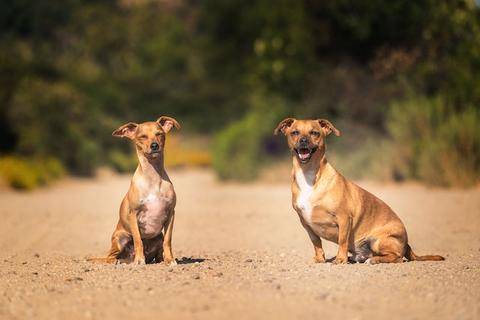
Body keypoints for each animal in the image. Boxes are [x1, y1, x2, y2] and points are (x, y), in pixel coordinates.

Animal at [88, 116, 180, 264]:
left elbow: (168, 240)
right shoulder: (133, 215)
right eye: (142, 136)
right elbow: (138, 240)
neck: (153, 178)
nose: (154, 145)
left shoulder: (171, 214)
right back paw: (118, 261)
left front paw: (170, 260)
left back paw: (160, 260)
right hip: (120, 237)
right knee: (110, 257)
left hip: (158, 237)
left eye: (159, 134)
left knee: (158, 250)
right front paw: (139, 260)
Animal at [276, 119, 444, 264]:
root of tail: (407, 243)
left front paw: (340, 259)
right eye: (295, 132)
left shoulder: (344, 218)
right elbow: (316, 242)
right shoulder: (306, 223)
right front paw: (320, 258)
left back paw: (373, 260)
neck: (309, 174)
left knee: (397, 257)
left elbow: (342, 240)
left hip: (378, 240)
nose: (303, 140)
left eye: (314, 133)